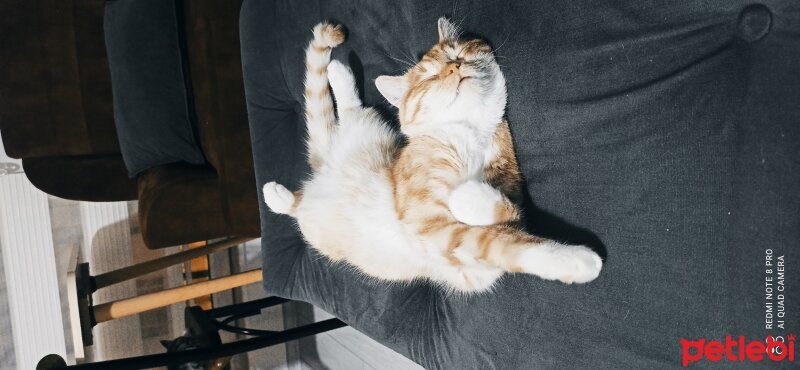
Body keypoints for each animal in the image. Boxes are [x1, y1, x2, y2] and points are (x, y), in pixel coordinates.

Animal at [262, 18, 600, 294]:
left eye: (458, 52)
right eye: (429, 77)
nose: (454, 67)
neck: (470, 133)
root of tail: (327, 165)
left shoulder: (487, 240)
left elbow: (511, 217)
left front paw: (470, 196)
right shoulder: (431, 227)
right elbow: (500, 240)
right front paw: (577, 261)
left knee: (347, 112)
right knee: (301, 193)